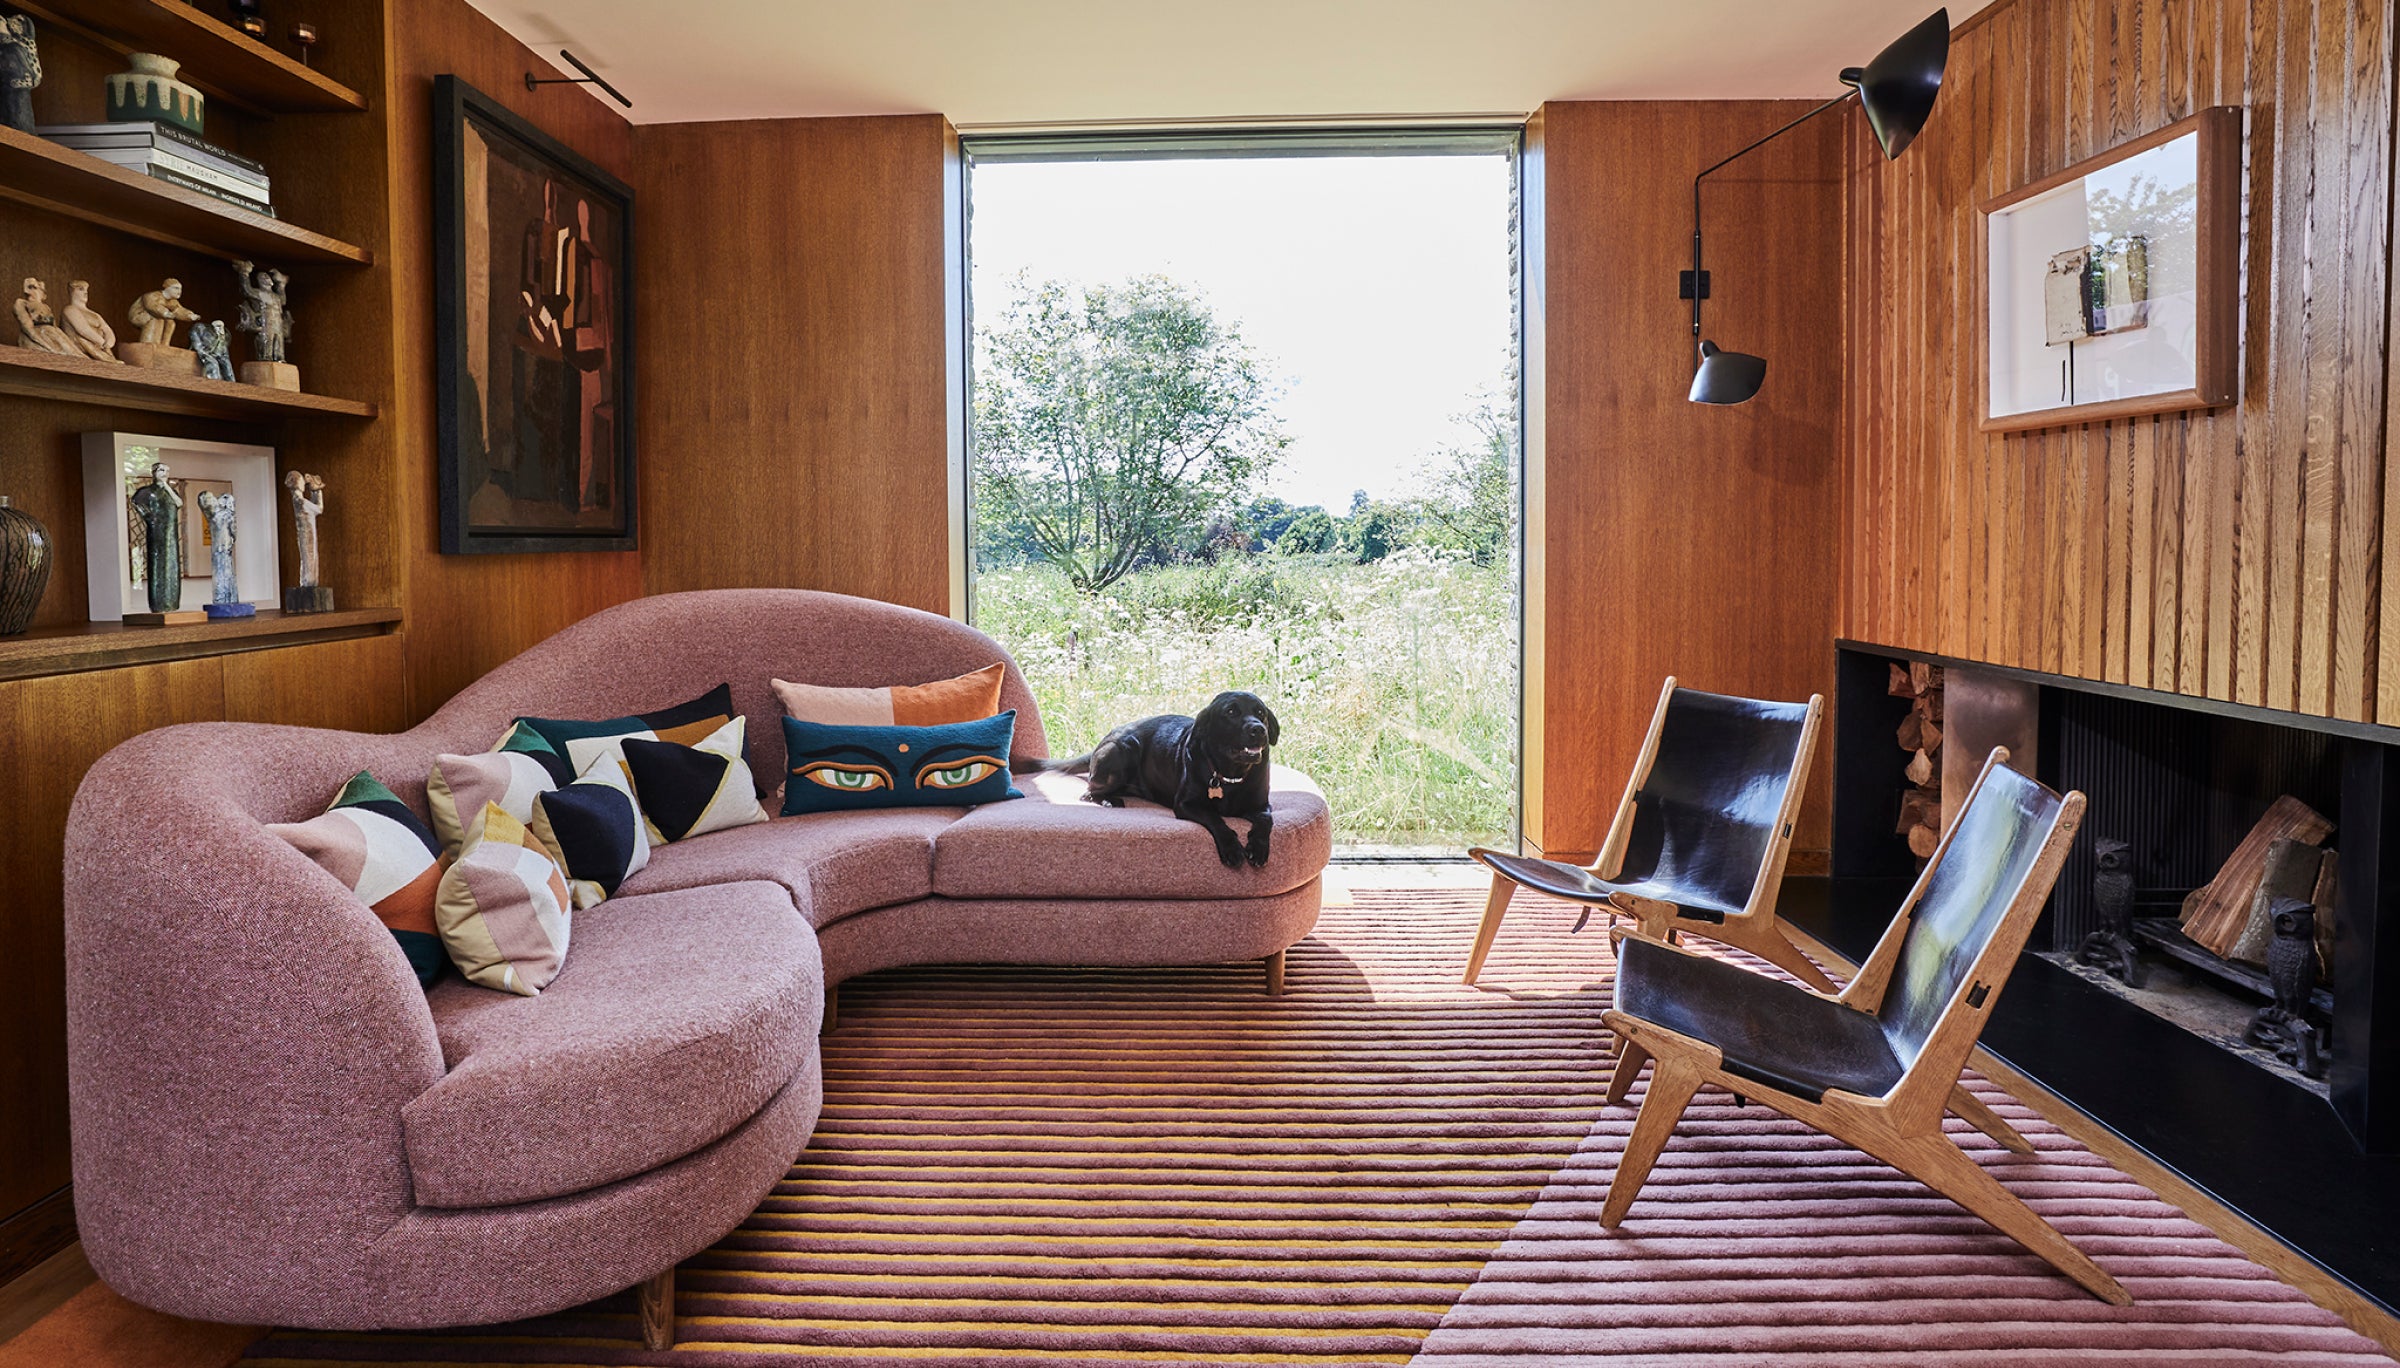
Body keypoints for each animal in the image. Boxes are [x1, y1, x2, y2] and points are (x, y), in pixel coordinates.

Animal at [1051, 691, 1280, 869]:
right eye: (1231, 712)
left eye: (1260, 713)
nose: (1259, 729)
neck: (1230, 774)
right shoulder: (1186, 804)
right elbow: (1215, 819)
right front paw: (1232, 848)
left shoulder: (1261, 805)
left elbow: (1265, 820)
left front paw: (1258, 848)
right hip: (1123, 749)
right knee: (1088, 791)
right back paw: (1109, 800)